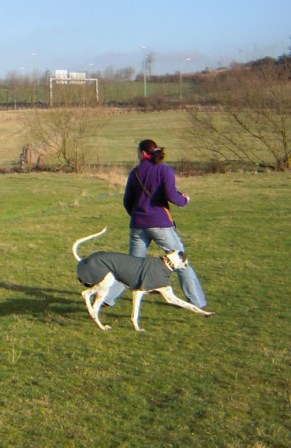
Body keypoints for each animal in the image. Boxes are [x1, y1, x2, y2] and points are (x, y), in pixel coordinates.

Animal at [72, 229, 216, 330]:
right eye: (186, 259)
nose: (188, 264)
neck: (167, 264)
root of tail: (83, 261)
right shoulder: (142, 293)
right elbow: (135, 314)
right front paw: (138, 329)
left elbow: (191, 306)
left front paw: (207, 313)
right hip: (105, 284)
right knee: (89, 299)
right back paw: (99, 323)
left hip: (102, 286)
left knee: (88, 298)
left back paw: (94, 317)